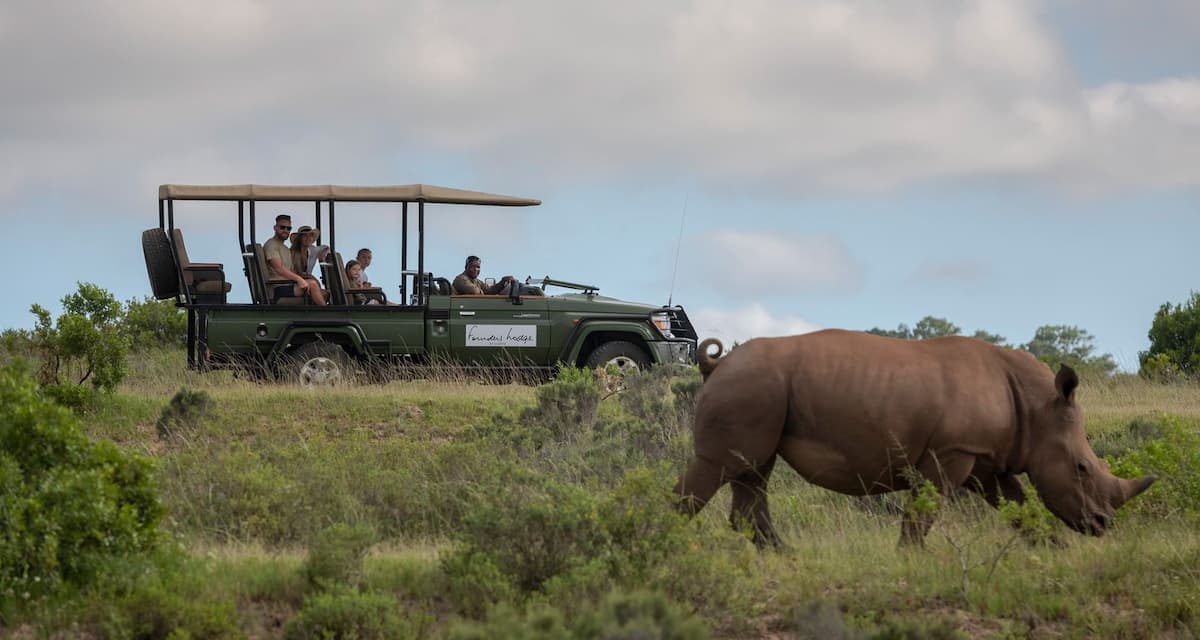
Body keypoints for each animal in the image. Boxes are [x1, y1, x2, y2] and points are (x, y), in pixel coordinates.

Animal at [675, 330, 1155, 546]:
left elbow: (1020, 508)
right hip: (749, 388)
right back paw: (667, 543)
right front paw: (911, 557)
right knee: (721, 468)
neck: (1039, 407)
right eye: (1082, 467)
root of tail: (716, 365)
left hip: (759, 392)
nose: (1102, 525)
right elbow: (922, 512)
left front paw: (1053, 550)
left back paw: (785, 558)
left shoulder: (986, 459)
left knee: (752, 472)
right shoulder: (951, 452)